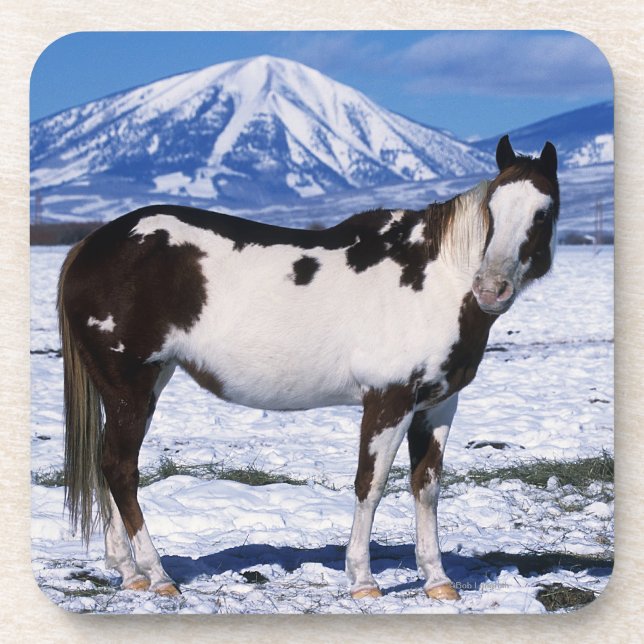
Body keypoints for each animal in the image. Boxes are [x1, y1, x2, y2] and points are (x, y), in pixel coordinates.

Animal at [58, 135, 559, 601]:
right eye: (493, 208)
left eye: (544, 212)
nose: (490, 288)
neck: (435, 280)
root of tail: (91, 244)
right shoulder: (389, 400)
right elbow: (371, 485)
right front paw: (363, 580)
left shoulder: (437, 406)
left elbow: (426, 488)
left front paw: (437, 581)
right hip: (131, 386)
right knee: (121, 469)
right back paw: (158, 575)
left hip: (139, 386)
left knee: (108, 466)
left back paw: (130, 573)